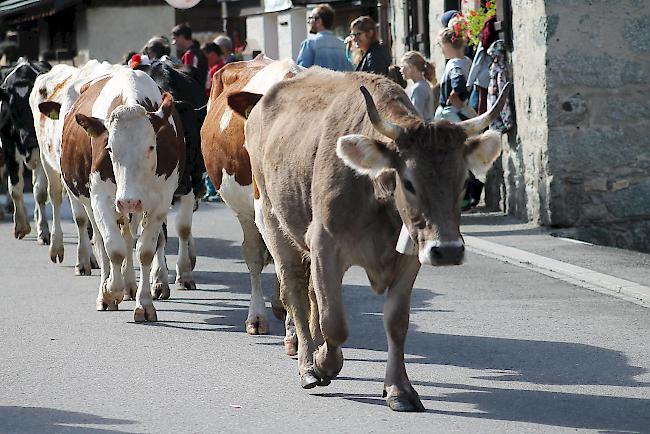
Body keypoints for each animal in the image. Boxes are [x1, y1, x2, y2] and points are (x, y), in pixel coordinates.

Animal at [55, 69, 185, 320]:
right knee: (101, 242)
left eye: (151, 147)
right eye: (109, 148)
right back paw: (108, 289)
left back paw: (130, 286)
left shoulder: (161, 201)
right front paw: (110, 291)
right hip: (92, 204)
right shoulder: (101, 199)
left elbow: (145, 251)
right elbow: (113, 248)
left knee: (127, 237)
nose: (129, 201)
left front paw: (144, 304)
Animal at [230, 67, 508, 410]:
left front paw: (399, 390)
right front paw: (324, 363)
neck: (373, 188)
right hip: (270, 219)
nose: (448, 250)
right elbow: (335, 322)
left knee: (311, 294)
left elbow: (396, 322)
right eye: (408, 182)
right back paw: (307, 363)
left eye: (462, 181)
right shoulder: (324, 245)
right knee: (294, 288)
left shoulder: (410, 255)